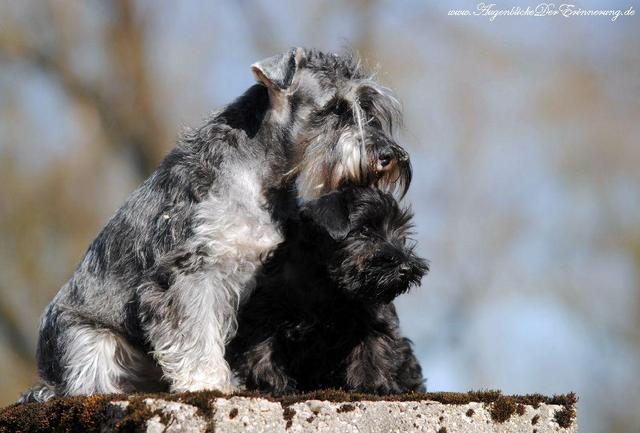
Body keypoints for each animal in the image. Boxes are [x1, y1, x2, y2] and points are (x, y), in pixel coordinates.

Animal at [228, 184, 428, 394]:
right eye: (365, 230)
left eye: (401, 235)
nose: (407, 268)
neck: (329, 284)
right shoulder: (263, 314)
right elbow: (261, 351)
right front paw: (272, 385)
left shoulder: (374, 320)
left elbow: (372, 351)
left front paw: (373, 386)